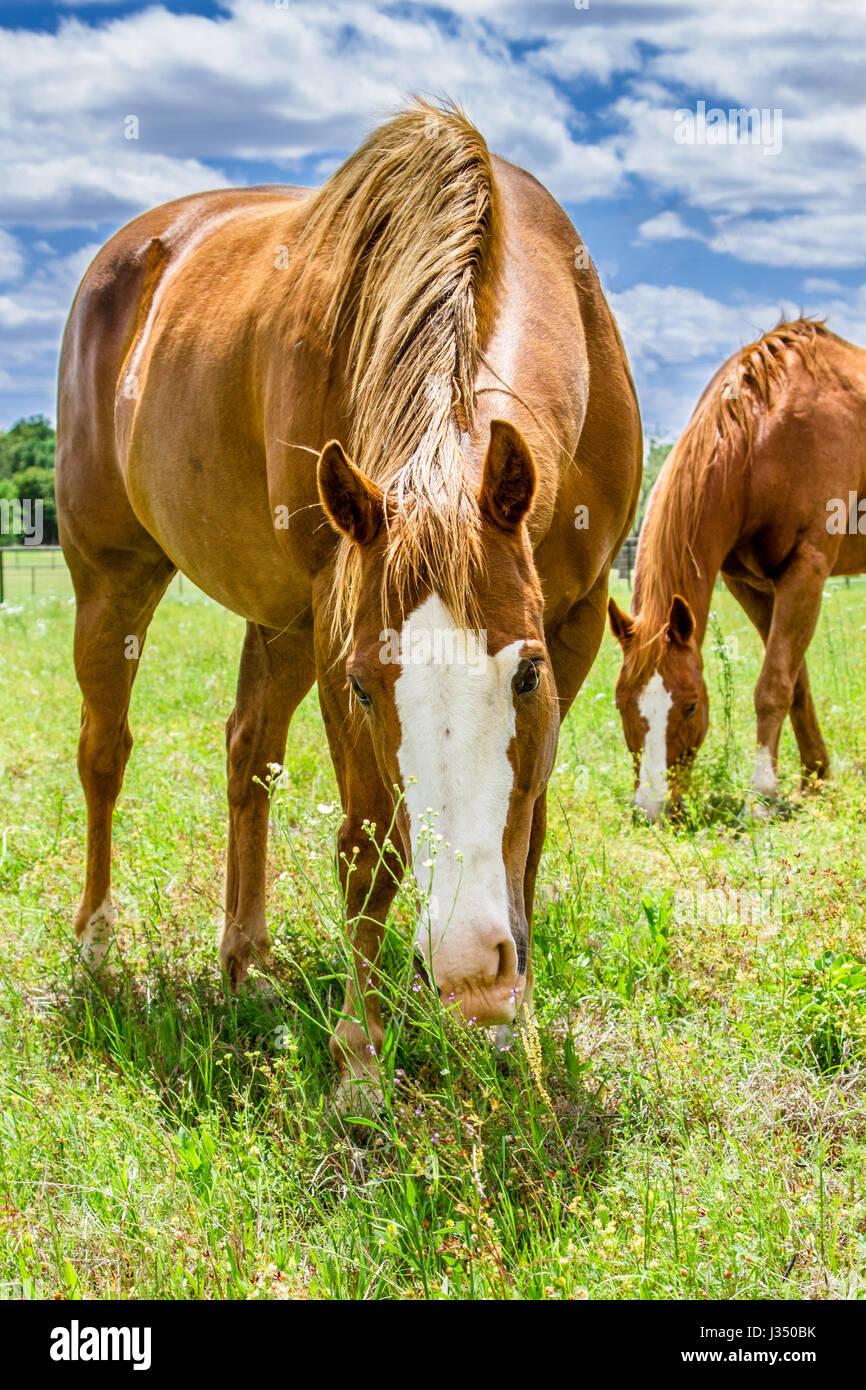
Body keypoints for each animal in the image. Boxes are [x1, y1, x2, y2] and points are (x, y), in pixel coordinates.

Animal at [56, 101, 641, 1097]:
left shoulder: (574, 624)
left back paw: (245, 962)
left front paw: (513, 1037)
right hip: (113, 578)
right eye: (370, 686)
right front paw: (361, 1061)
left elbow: (528, 829)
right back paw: (98, 945)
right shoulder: (339, 631)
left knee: (247, 753)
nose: (467, 969)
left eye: (524, 677)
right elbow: (369, 850)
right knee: (106, 752)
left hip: (278, 616)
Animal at [609, 319, 866, 823]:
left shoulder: (806, 571)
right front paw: (815, 777)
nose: (651, 809)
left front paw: (762, 795)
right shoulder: (750, 584)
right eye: (623, 702)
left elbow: (773, 685)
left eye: (691, 707)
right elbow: (797, 683)